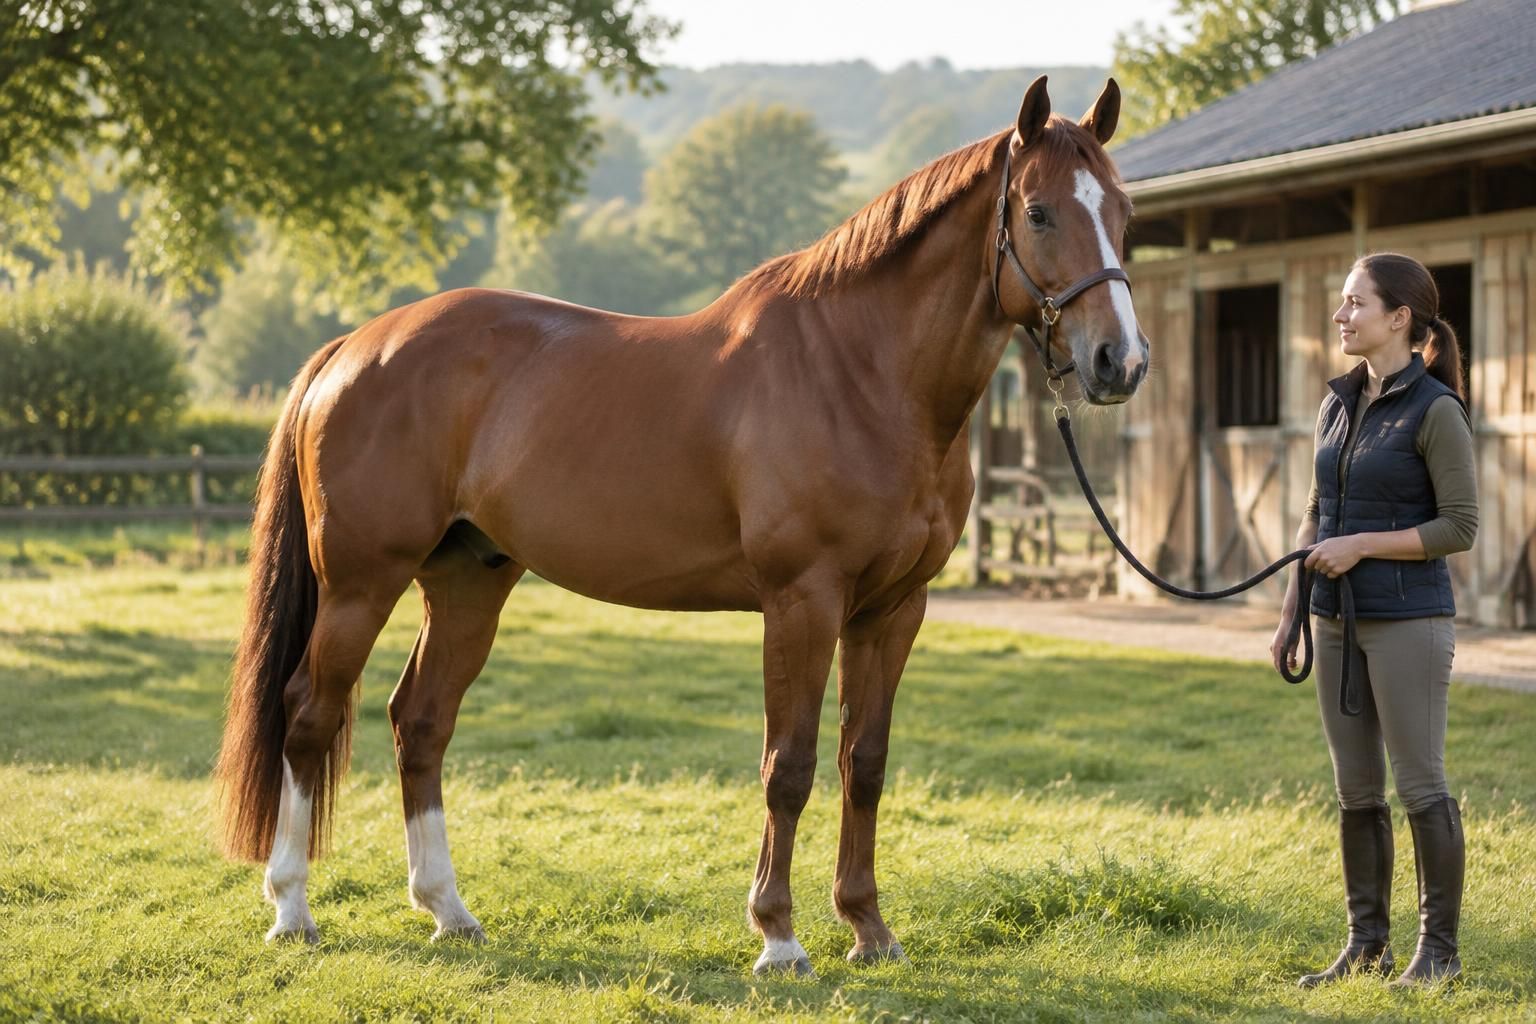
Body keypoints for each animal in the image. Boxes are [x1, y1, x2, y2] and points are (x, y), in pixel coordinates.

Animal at [216, 74, 1149, 974]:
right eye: (1039, 211)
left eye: (1124, 215)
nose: (1121, 362)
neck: (862, 374)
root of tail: (353, 347)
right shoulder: (802, 602)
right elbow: (789, 766)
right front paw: (779, 938)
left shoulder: (894, 610)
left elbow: (865, 763)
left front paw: (869, 930)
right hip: (360, 583)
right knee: (308, 714)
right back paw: (292, 910)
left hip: (466, 583)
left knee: (421, 721)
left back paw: (449, 911)